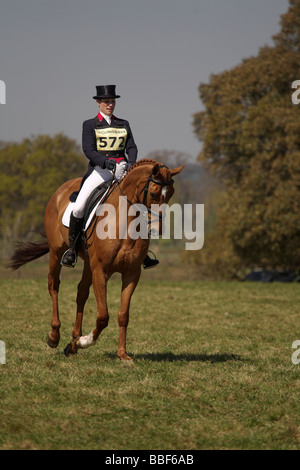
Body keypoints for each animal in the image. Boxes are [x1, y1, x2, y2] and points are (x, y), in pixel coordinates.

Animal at [8, 160, 183, 362]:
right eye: (153, 194)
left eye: (170, 194)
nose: (157, 229)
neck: (124, 222)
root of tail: (60, 190)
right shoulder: (101, 270)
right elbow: (103, 316)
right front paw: (84, 341)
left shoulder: (131, 273)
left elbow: (123, 315)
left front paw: (121, 354)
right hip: (56, 252)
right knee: (54, 285)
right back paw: (54, 336)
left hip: (87, 263)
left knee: (81, 293)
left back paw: (72, 343)